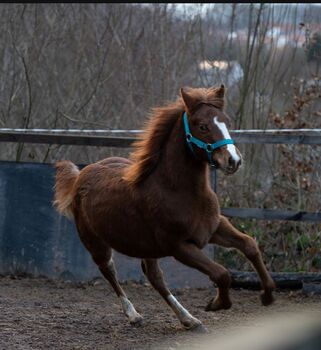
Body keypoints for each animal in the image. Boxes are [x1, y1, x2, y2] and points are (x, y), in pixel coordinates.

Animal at [53, 86, 274, 332]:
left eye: (227, 121)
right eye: (202, 126)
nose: (233, 160)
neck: (178, 191)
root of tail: (80, 175)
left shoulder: (215, 227)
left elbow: (250, 245)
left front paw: (267, 295)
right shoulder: (179, 246)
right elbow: (222, 273)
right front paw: (215, 304)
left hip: (146, 247)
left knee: (154, 277)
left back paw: (189, 320)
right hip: (96, 243)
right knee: (109, 270)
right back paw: (134, 315)